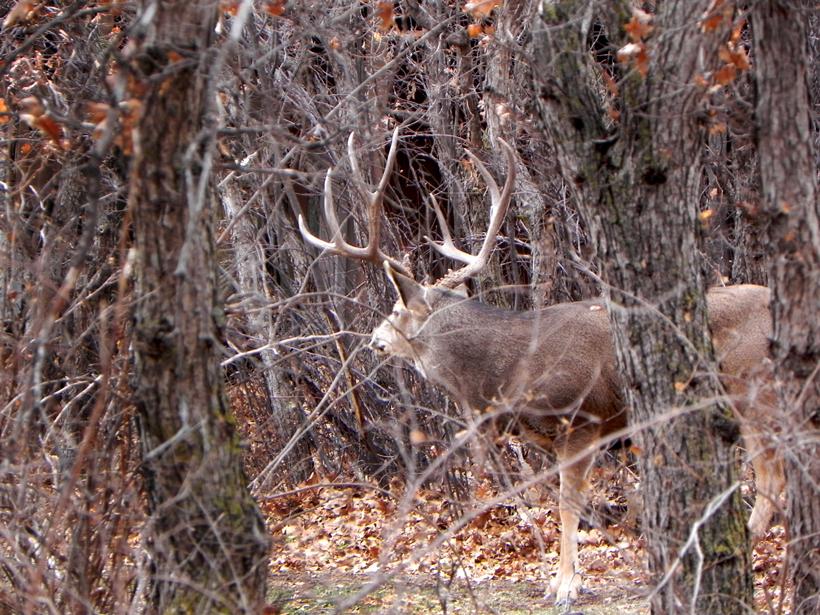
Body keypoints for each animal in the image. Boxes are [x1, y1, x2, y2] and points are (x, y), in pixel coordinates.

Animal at [298, 128, 785, 605]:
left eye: (397, 311)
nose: (374, 339)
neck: (513, 369)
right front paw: (560, 578)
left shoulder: (582, 420)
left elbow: (569, 505)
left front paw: (566, 586)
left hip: (751, 390)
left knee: (771, 478)